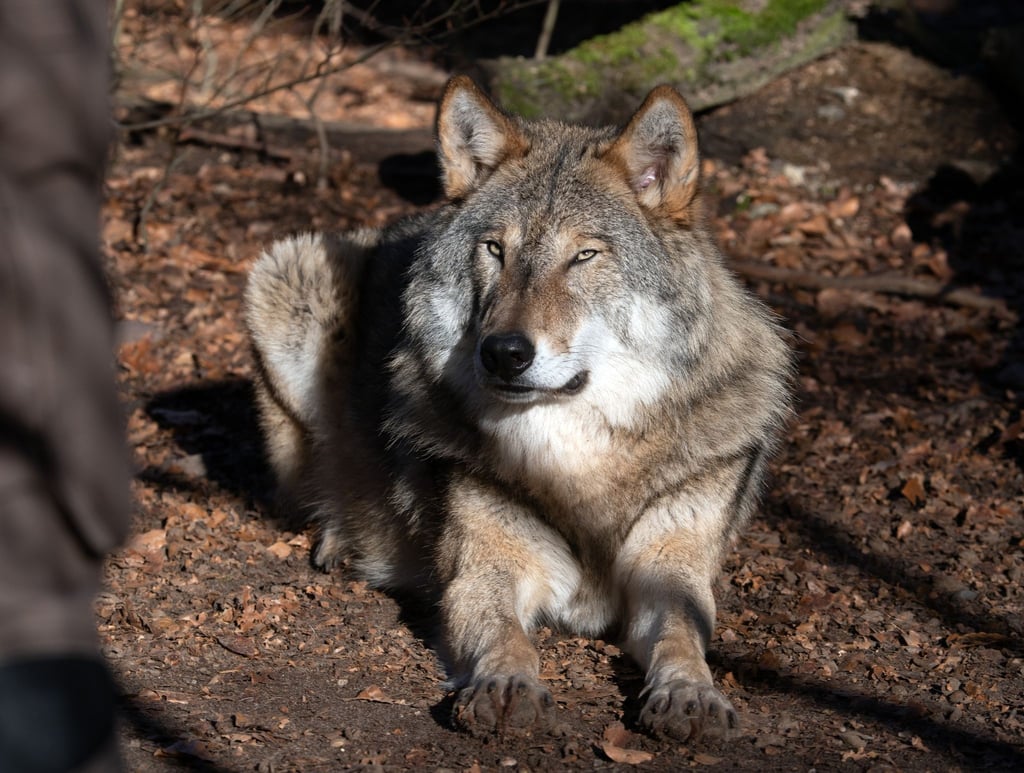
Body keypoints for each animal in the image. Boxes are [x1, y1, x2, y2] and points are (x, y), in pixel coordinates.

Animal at [245, 76, 791, 741]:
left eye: (584, 256)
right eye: (495, 250)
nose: (503, 353)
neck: (575, 462)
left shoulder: (671, 575)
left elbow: (683, 636)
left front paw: (691, 693)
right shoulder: (484, 572)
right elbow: (505, 635)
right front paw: (506, 686)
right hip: (287, 275)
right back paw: (339, 538)